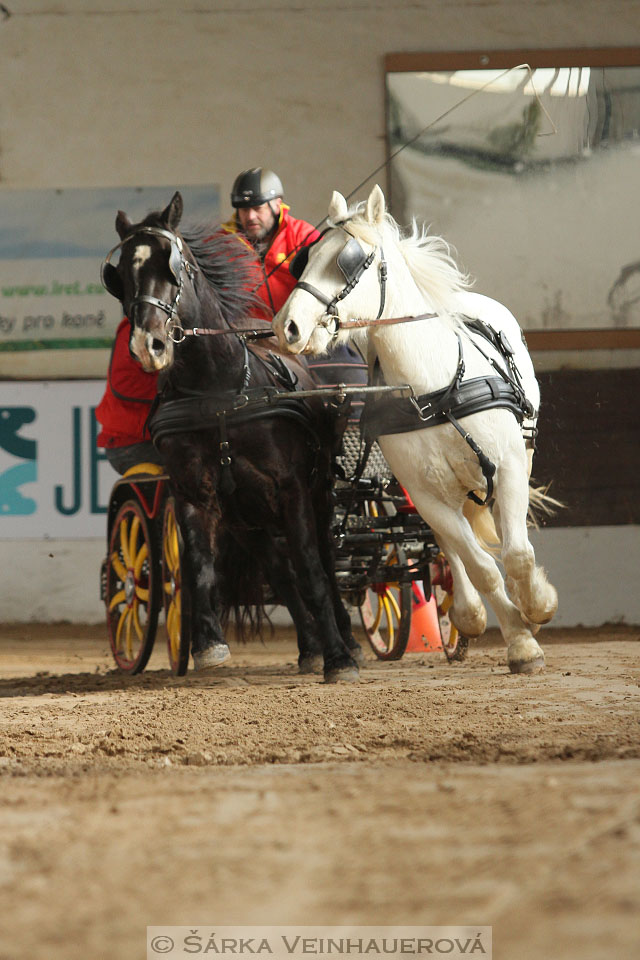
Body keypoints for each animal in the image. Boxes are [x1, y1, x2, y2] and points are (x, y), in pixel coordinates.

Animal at [100, 191, 360, 680]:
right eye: (120, 273)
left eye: (174, 266)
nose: (148, 345)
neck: (217, 390)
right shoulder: (192, 491)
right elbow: (199, 567)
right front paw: (207, 643)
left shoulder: (292, 488)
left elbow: (312, 567)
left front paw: (340, 657)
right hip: (248, 517)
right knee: (280, 572)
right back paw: (309, 646)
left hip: (316, 494)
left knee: (322, 558)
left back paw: (344, 639)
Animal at [272, 184, 556, 672]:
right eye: (303, 260)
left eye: (349, 260)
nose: (287, 326)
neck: (432, 390)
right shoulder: (424, 494)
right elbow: (479, 565)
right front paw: (519, 641)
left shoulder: (508, 467)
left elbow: (517, 554)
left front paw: (536, 610)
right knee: (450, 545)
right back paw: (467, 614)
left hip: (517, 456)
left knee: (501, 535)